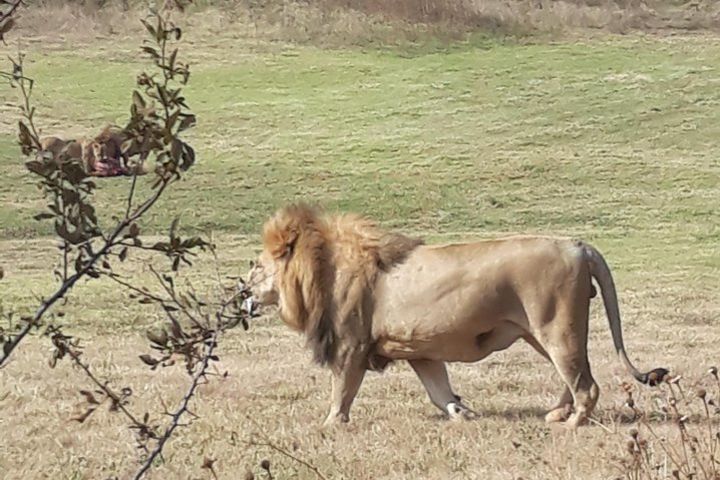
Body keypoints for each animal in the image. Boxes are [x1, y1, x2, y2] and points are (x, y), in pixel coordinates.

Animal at [245, 202, 668, 428]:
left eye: (256, 265)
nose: (243, 290)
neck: (320, 269)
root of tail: (578, 245)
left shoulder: (350, 345)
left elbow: (342, 389)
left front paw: (331, 424)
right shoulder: (419, 350)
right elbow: (438, 390)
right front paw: (462, 412)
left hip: (556, 328)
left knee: (585, 384)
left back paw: (571, 425)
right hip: (542, 334)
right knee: (576, 374)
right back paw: (556, 414)